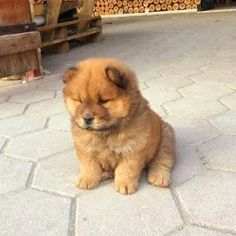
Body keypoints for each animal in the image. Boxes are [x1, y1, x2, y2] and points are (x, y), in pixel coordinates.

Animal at [62, 58, 175, 195]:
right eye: (79, 100)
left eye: (103, 101)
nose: (87, 118)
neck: (105, 133)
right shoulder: (84, 147)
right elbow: (89, 165)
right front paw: (86, 179)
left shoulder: (133, 149)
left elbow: (126, 169)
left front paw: (124, 185)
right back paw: (105, 174)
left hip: (166, 138)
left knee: (162, 160)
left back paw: (159, 177)